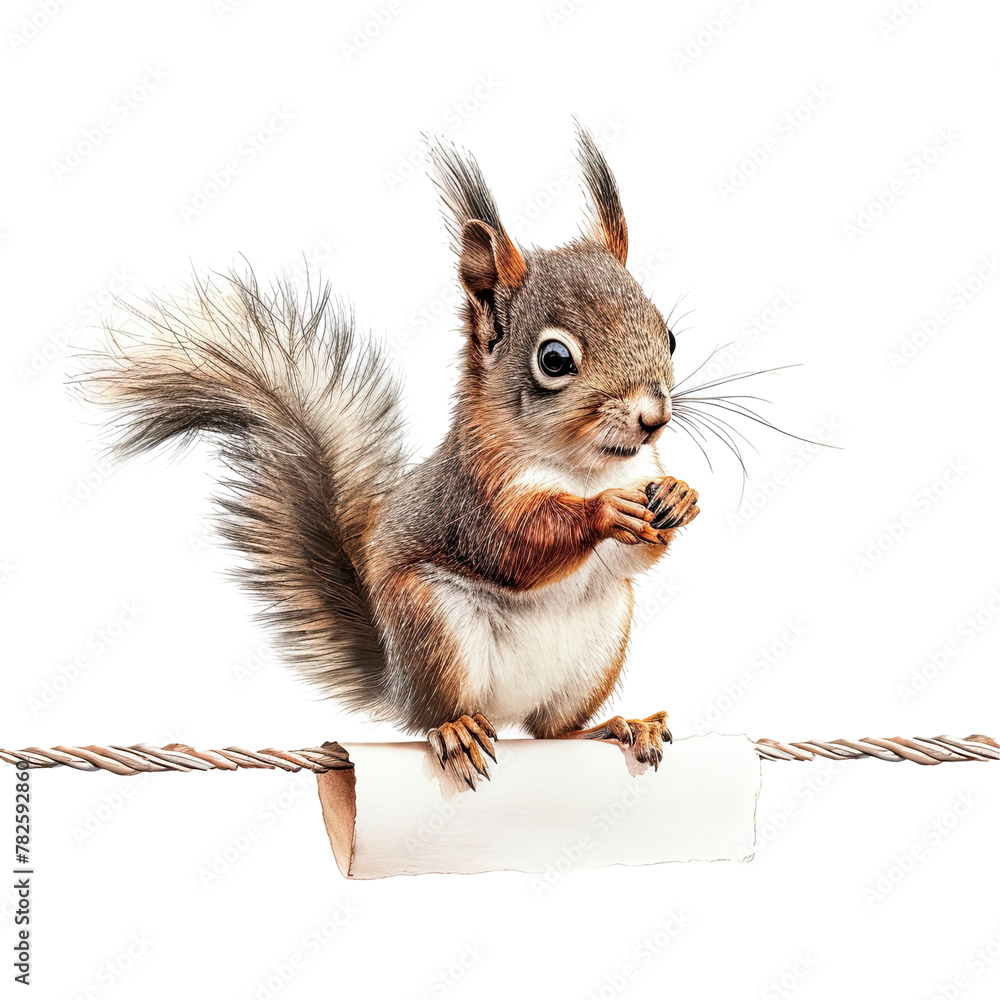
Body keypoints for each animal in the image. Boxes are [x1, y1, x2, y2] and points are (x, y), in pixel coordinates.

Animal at [84, 123, 700, 788]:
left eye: (669, 336)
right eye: (554, 359)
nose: (654, 417)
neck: (586, 465)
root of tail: (404, 683)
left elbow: (643, 552)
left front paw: (680, 496)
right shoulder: (472, 493)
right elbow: (513, 544)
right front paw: (605, 511)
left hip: (599, 644)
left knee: (552, 729)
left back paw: (619, 725)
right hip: (434, 626)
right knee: (447, 713)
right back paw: (458, 730)